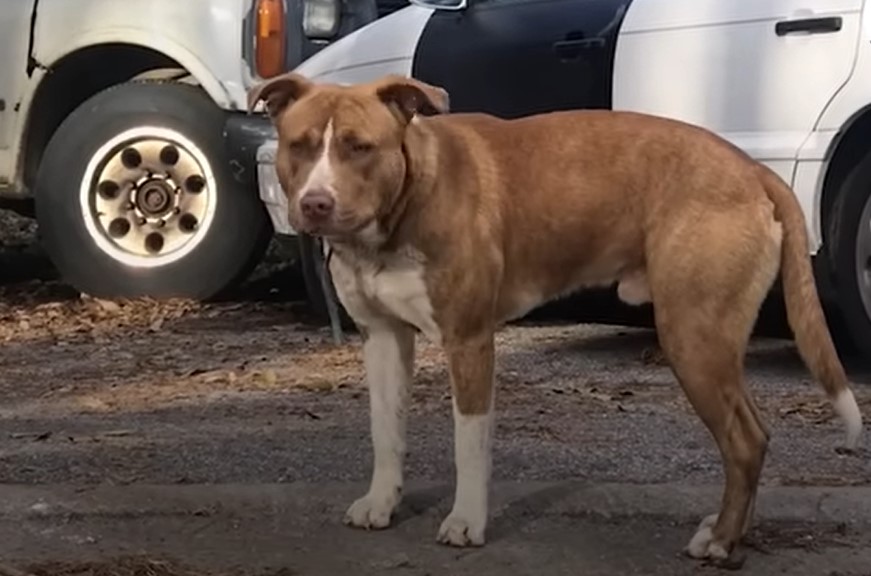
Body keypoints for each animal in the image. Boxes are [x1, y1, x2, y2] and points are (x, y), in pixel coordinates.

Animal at [247, 74, 864, 564]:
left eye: (360, 148)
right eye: (299, 145)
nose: (316, 204)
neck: (404, 205)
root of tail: (754, 169)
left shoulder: (468, 340)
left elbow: (469, 444)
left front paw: (466, 522)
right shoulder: (383, 340)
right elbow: (385, 431)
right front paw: (381, 503)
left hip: (693, 335)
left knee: (745, 440)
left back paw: (719, 543)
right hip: (708, 340)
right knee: (754, 435)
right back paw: (728, 533)